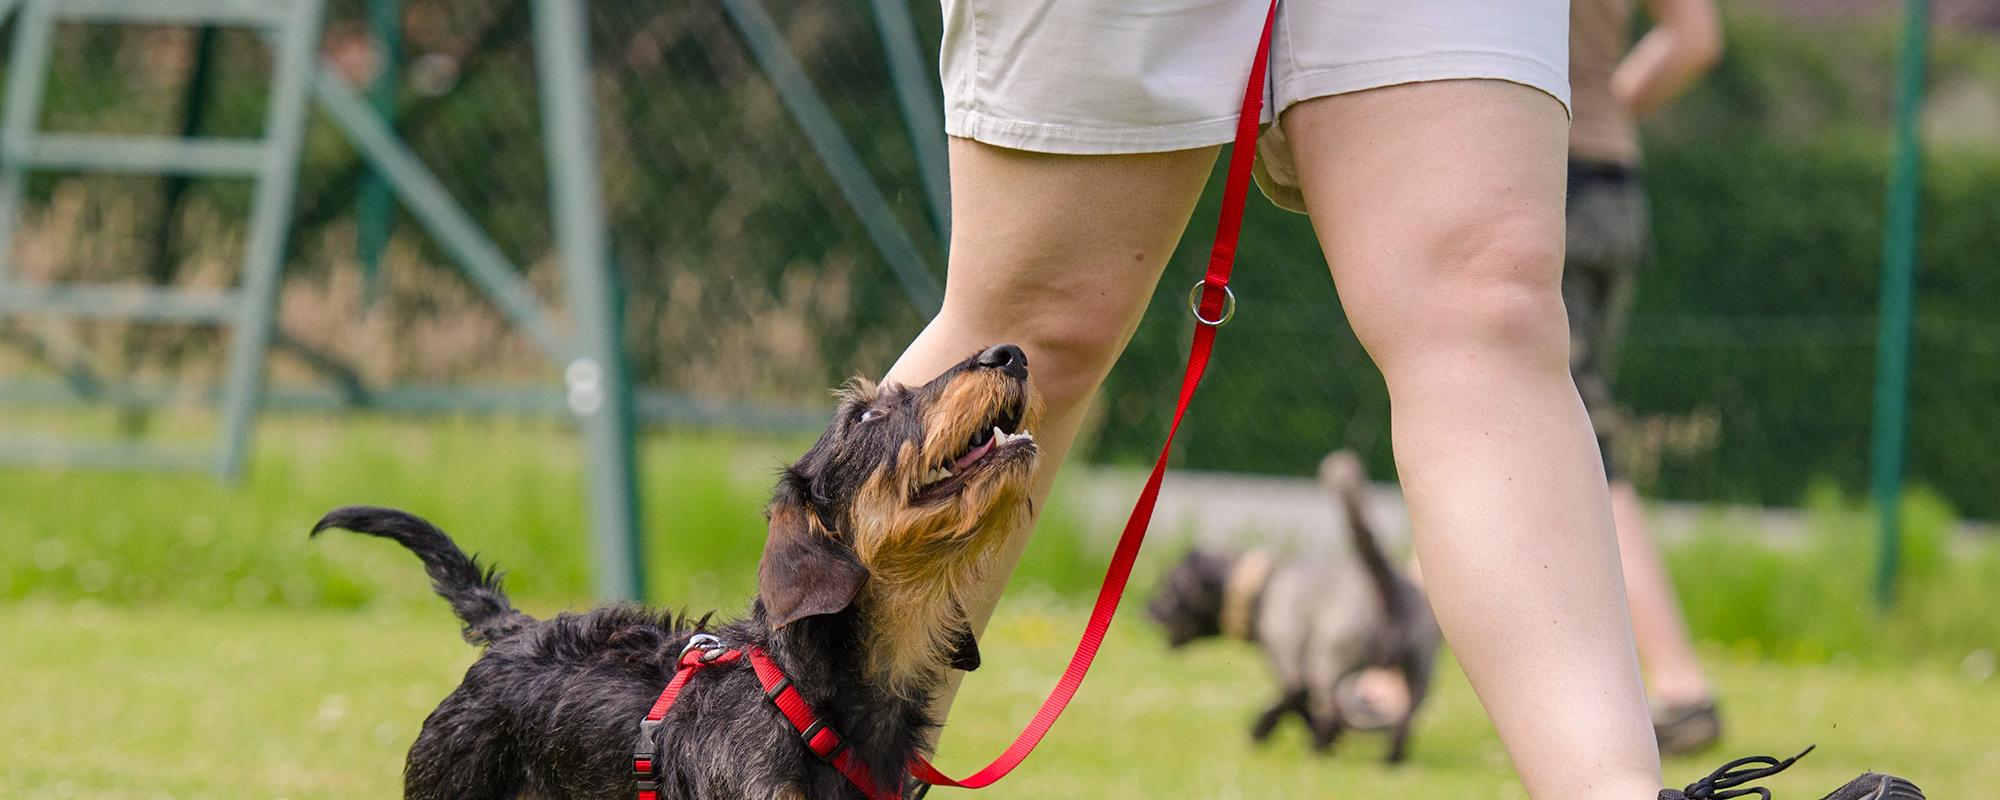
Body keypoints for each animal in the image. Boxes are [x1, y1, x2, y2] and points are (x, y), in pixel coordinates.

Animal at [1144, 450, 1440, 764]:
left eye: (1168, 588)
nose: (1145, 610)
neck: (1260, 587)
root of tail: (1388, 584)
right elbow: (1297, 704)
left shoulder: (1289, 663)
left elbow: (1293, 702)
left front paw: (1262, 730)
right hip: (1418, 672)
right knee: (1405, 719)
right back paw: (1390, 760)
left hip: (1329, 662)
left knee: (1333, 709)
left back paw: (1319, 748)